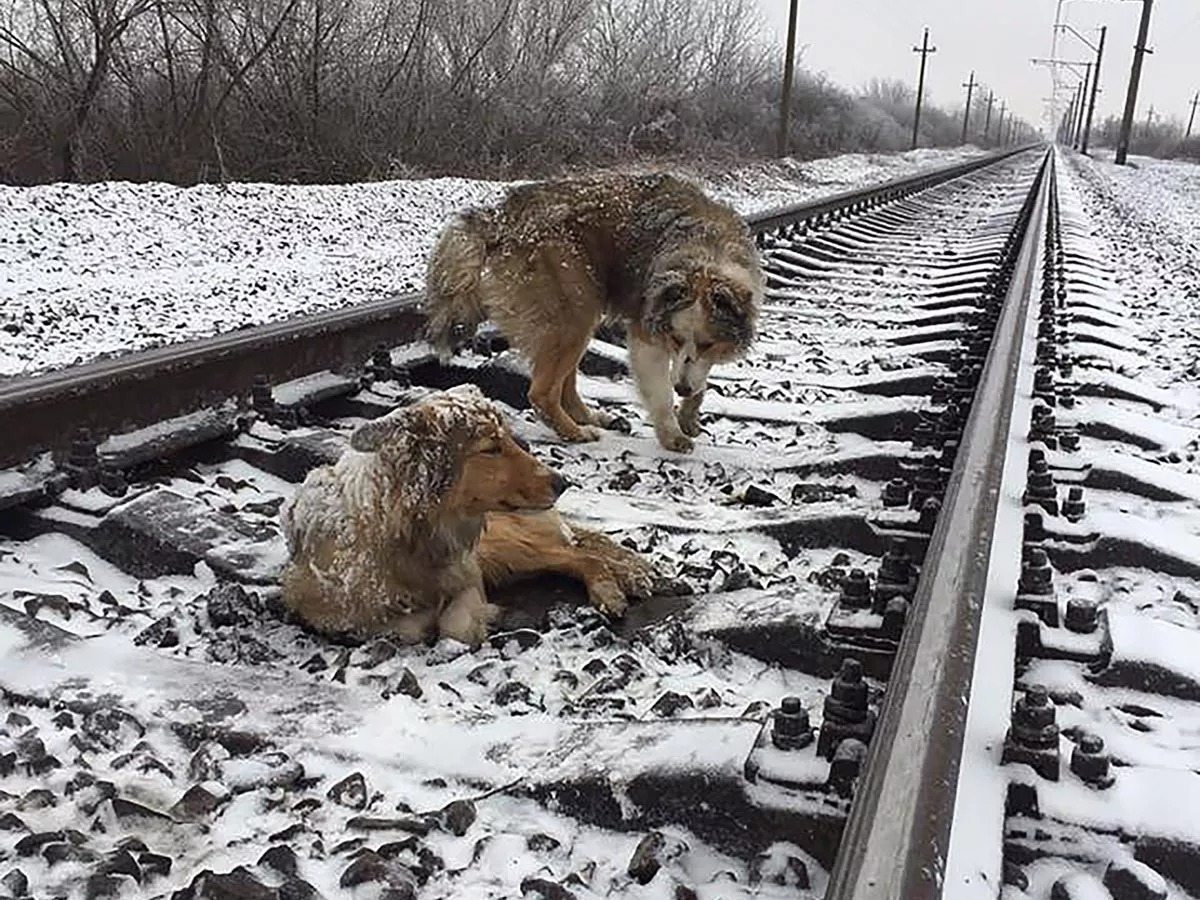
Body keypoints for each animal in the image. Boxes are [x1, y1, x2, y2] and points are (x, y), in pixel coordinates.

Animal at [279, 384, 652, 643]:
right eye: (491, 448)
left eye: (509, 439)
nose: (563, 482)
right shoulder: (321, 608)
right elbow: (402, 626)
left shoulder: (468, 572)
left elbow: (453, 625)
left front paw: (480, 617)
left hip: (506, 546)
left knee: (582, 555)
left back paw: (612, 589)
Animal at [424, 174, 758, 453]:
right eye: (674, 340)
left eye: (708, 344)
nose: (682, 388)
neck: (707, 253)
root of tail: (500, 217)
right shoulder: (647, 333)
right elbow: (661, 392)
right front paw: (672, 433)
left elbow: (699, 377)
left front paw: (689, 413)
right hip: (574, 311)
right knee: (542, 393)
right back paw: (575, 432)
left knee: (565, 385)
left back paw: (593, 418)